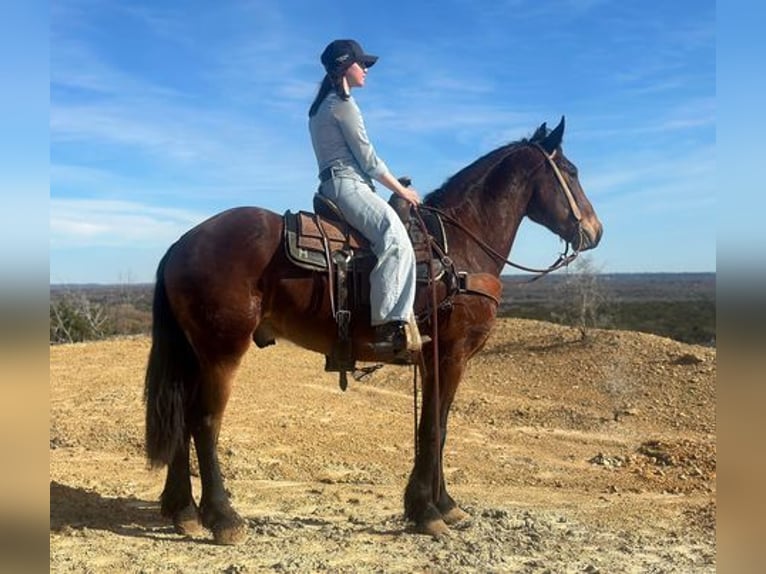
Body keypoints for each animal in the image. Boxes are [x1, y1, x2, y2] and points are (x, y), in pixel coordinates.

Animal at [142, 116, 600, 544]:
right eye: (572, 171)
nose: (595, 231)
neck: (457, 249)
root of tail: (182, 244)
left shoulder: (436, 361)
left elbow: (438, 426)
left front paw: (442, 504)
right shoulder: (450, 356)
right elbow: (433, 428)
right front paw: (427, 511)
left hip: (193, 353)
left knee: (182, 419)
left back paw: (183, 512)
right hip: (221, 352)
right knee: (204, 422)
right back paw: (223, 518)